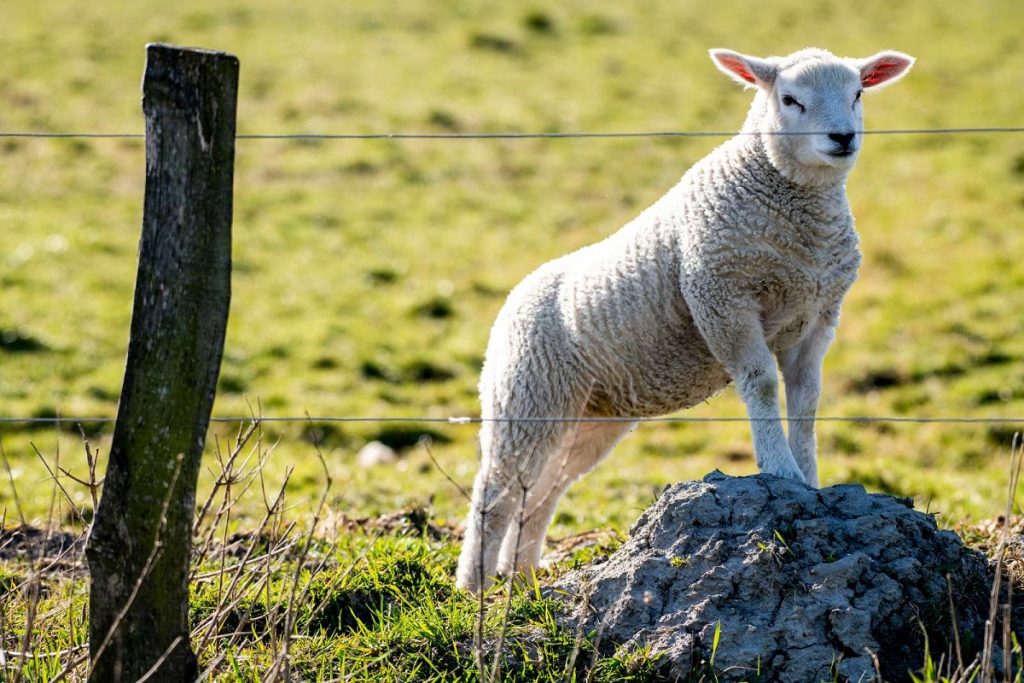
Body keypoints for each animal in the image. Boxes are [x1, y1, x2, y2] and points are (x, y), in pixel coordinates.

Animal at [456, 48, 913, 593]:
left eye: (858, 94)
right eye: (789, 100)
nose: (842, 137)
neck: (800, 216)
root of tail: (515, 296)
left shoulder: (818, 315)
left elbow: (807, 400)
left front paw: (811, 480)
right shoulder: (721, 299)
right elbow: (761, 383)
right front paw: (780, 472)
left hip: (589, 414)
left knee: (540, 491)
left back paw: (523, 579)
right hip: (525, 393)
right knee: (495, 493)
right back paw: (473, 587)